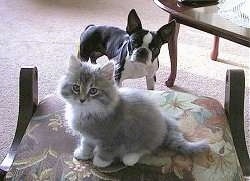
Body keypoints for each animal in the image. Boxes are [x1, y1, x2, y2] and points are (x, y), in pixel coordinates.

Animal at [57, 55, 209, 168]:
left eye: (93, 90)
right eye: (76, 88)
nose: (82, 100)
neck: (87, 112)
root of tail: (164, 122)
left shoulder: (113, 137)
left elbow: (106, 151)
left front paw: (100, 162)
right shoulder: (87, 135)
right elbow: (85, 144)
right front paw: (83, 154)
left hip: (143, 136)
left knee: (146, 148)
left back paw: (130, 157)